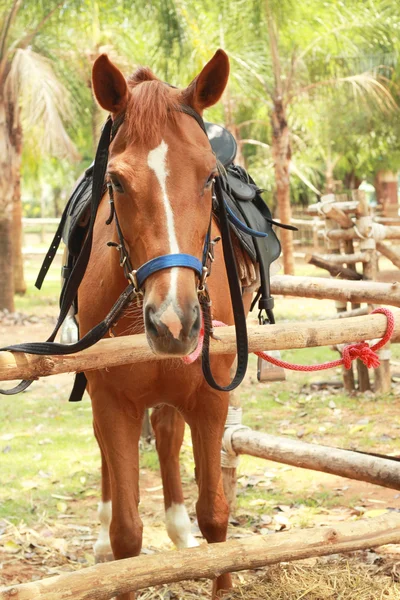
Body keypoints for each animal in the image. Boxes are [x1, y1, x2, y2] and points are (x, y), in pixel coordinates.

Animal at [78, 49, 253, 596]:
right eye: (115, 181)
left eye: (210, 178)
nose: (173, 323)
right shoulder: (112, 402)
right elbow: (127, 535)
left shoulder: (210, 397)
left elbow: (215, 513)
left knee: (167, 430)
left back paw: (179, 529)